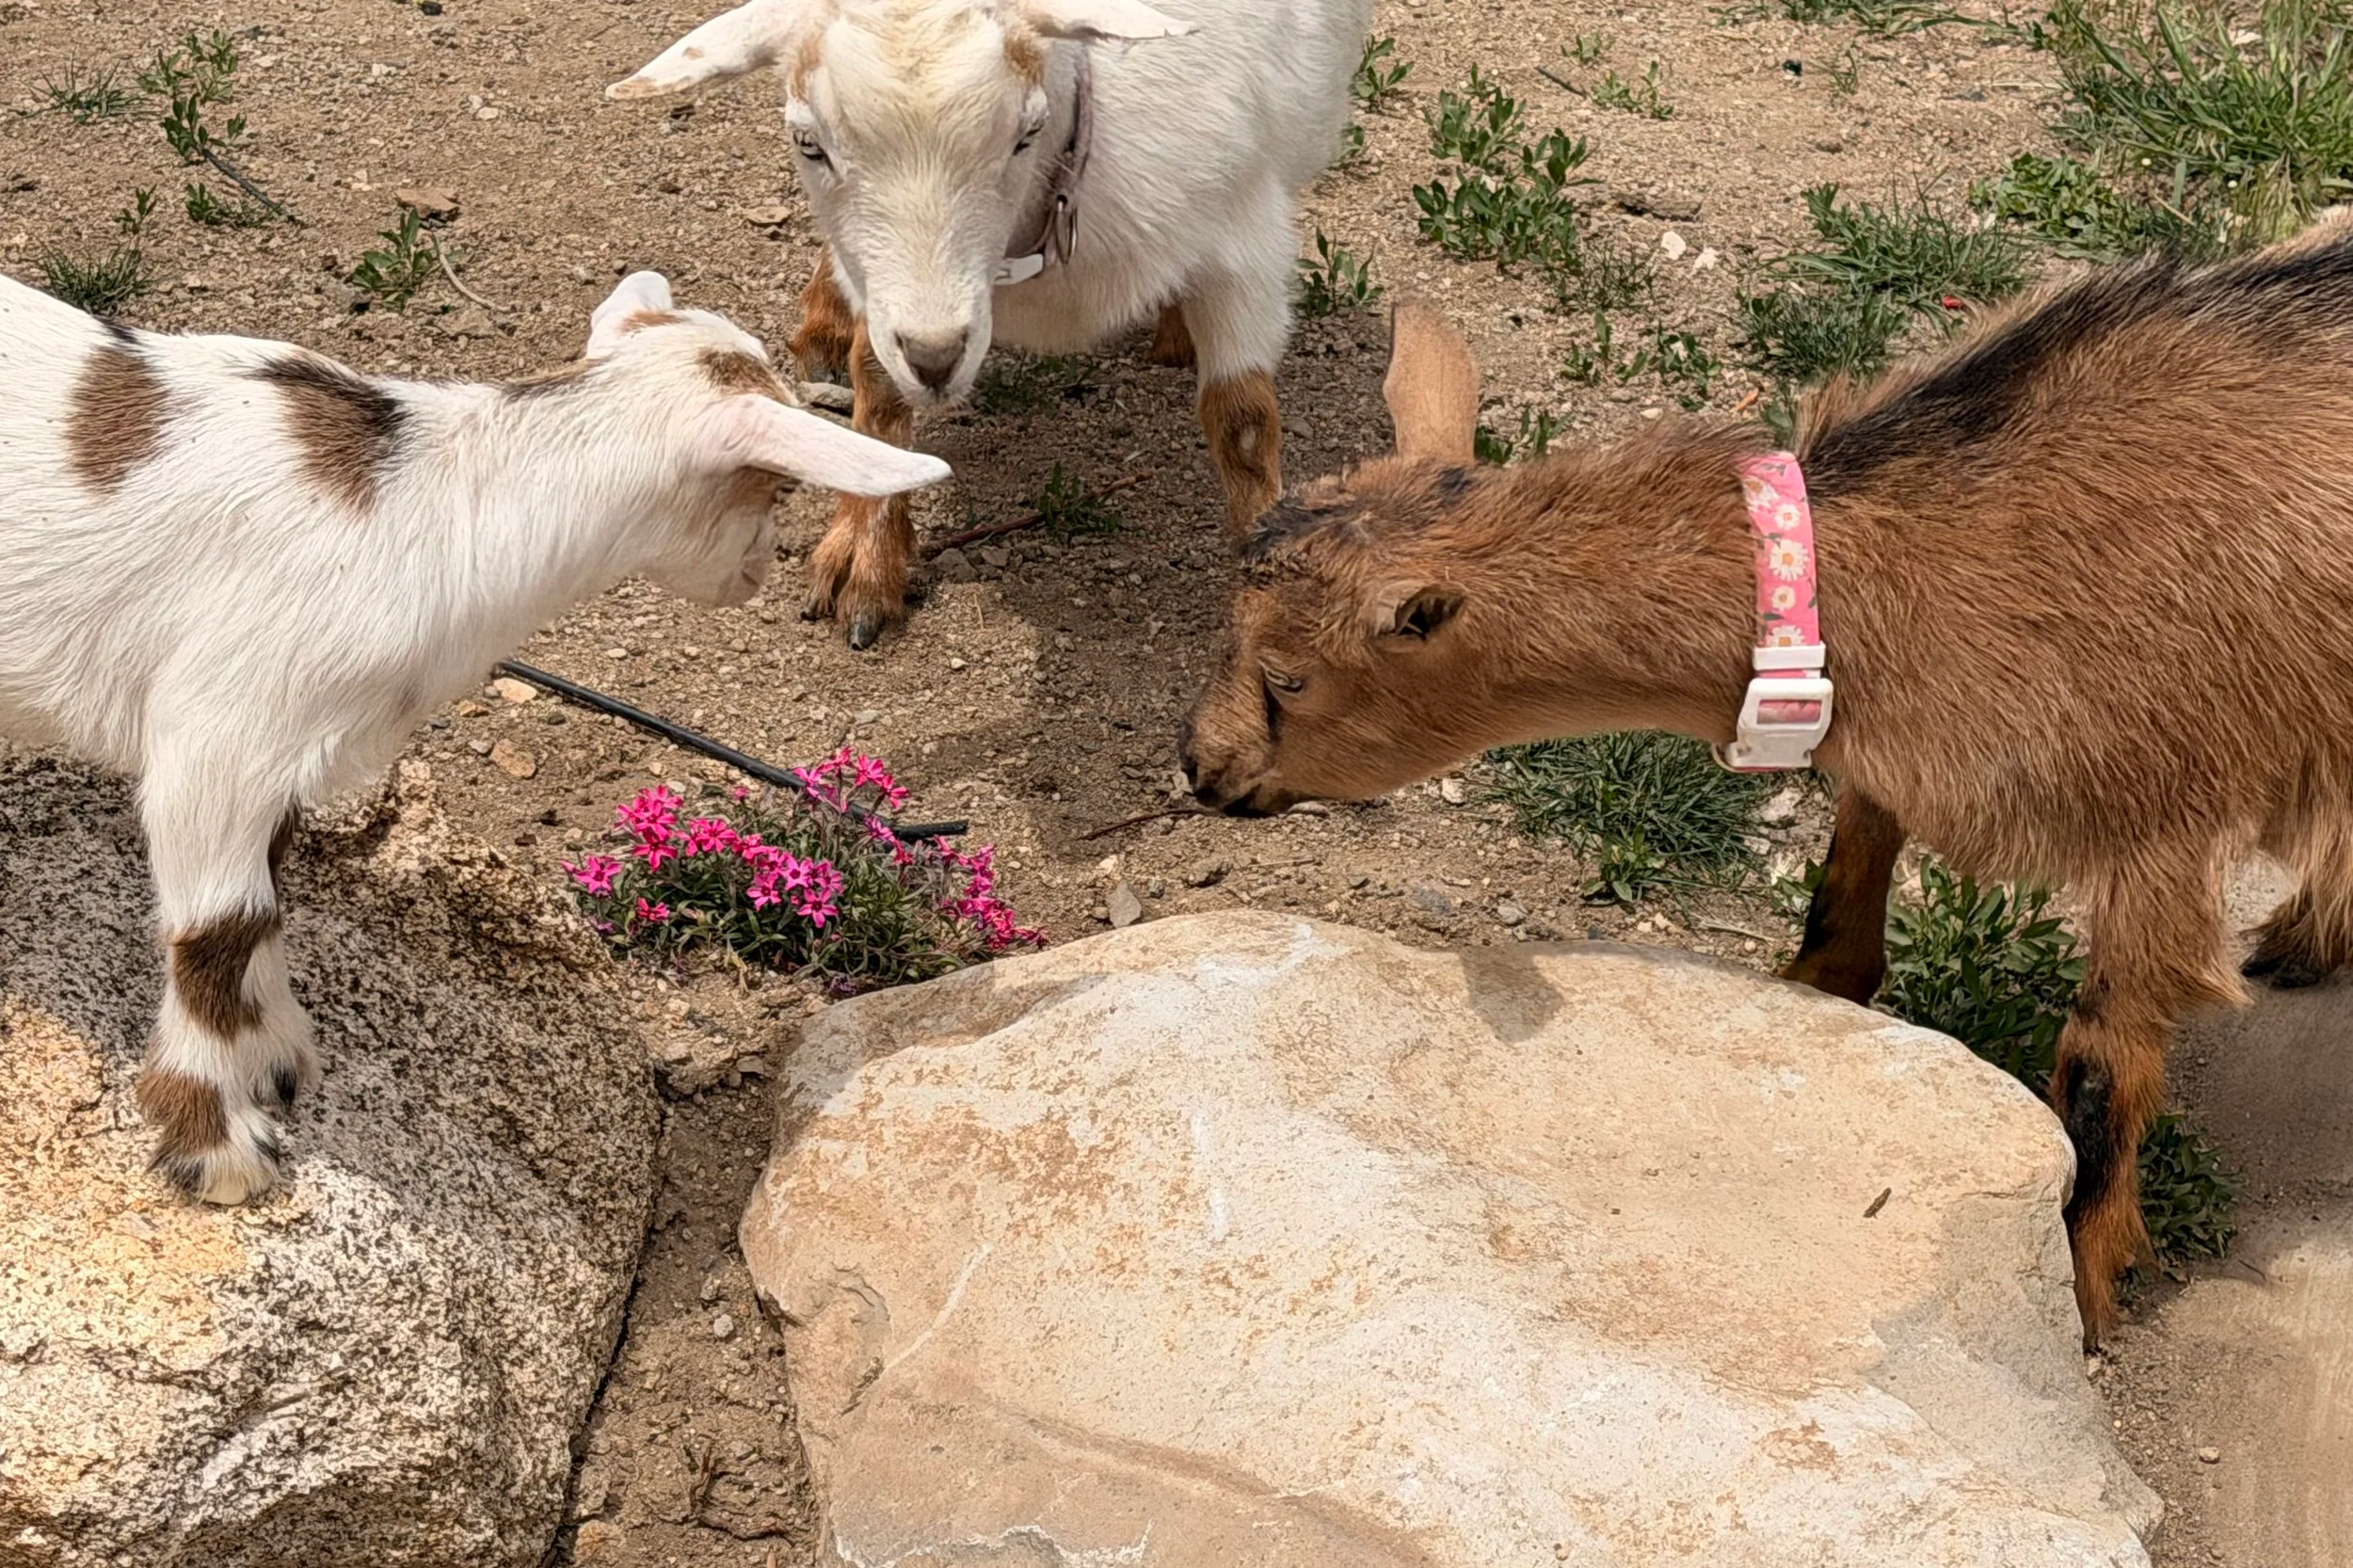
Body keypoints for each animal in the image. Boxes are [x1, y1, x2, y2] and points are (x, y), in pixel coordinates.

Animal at [0, 270, 948, 1204]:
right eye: (775, 486)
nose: (756, 572)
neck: (434, 499)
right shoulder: (220, 735)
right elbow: (222, 930)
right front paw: (220, 1148)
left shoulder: (279, 754)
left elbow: (269, 893)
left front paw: (276, 1061)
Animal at [609, 0, 1373, 647]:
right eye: (808, 144)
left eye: (1026, 133)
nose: (936, 357)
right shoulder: (883, 290)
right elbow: (876, 384)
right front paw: (866, 556)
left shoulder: (1246, 240)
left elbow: (1243, 424)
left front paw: (1272, 608)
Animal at [1176, 212, 2353, 1343]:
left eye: (1288, 675)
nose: (1200, 764)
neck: (1930, 552)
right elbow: (1854, 860)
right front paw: (1814, 989)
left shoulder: (2160, 812)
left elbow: (2101, 1071)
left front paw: (2083, 1282)